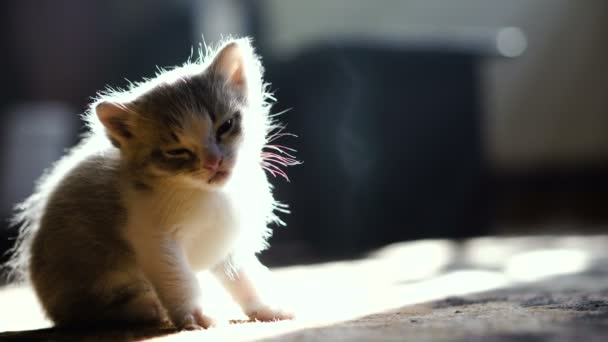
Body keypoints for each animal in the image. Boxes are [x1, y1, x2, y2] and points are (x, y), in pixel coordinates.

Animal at [3, 36, 298, 328]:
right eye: (177, 151)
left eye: (225, 126)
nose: (213, 161)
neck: (209, 194)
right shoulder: (153, 237)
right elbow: (179, 279)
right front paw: (195, 315)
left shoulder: (226, 244)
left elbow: (245, 277)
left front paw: (266, 308)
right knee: (86, 311)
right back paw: (146, 307)